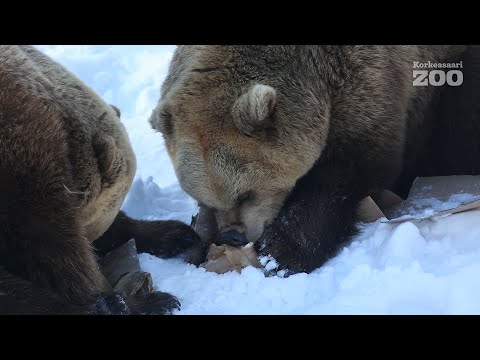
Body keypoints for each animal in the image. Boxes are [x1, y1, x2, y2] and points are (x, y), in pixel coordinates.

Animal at [151, 45, 480, 276]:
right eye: (201, 197)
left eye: (247, 193)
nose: (233, 236)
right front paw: (196, 240)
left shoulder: (366, 86)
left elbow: (343, 176)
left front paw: (280, 252)